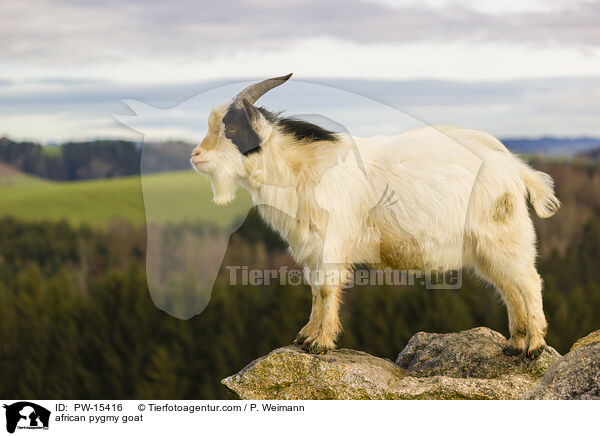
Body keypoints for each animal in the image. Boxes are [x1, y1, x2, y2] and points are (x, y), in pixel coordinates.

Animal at [193, 73, 564, 358]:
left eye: (232, 130)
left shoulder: (332, 240)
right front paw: (305, 336)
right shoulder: (310, 245)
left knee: (529, 282)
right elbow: (314, 288)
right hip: (487, 250)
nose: (195, 156)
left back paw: (533, 347)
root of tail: (514, 169)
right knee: (509, 287)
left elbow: (326, 288)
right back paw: (514, 344)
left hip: (504, 236)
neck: (301, 168)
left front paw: (320, 343)